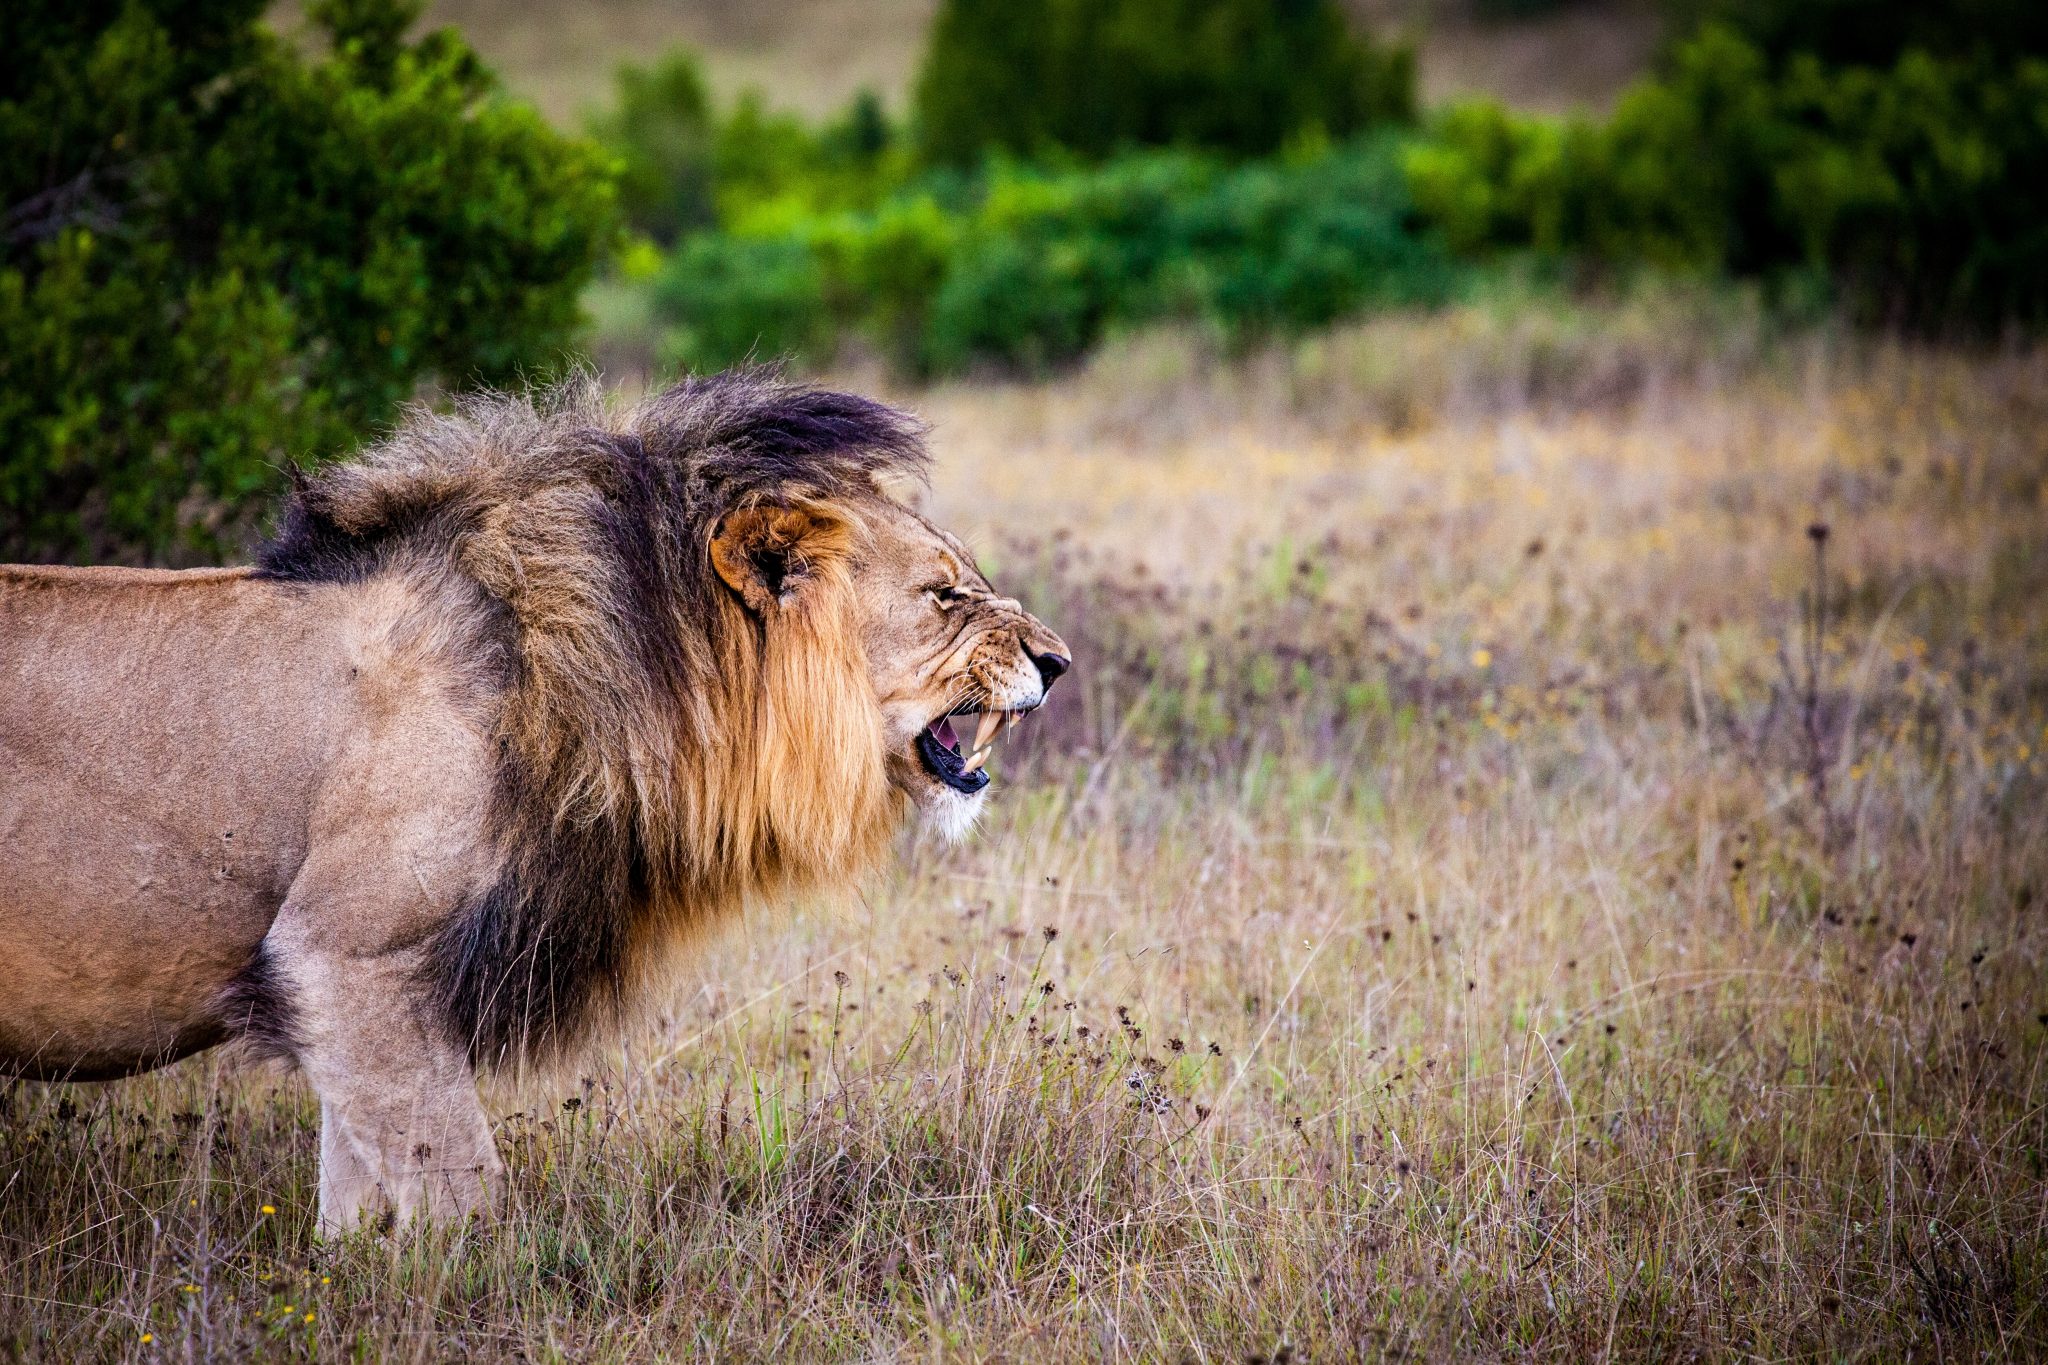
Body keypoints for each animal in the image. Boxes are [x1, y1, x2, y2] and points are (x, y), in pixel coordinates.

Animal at [0, 370, 1069, 1233]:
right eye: (943, 595)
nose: (1058, 661)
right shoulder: (343, 955)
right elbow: (460, 1188)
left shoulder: (354, 993)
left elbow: (356, 1199)